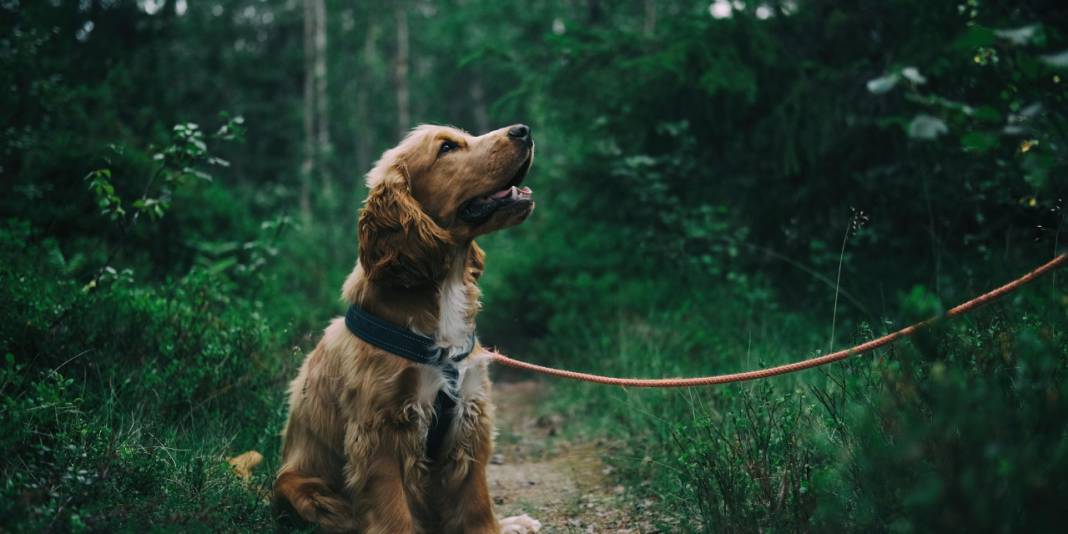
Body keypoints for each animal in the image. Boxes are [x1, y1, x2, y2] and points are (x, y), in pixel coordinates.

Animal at [275, 122, 542, 531]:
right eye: (447, 148)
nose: (523, 130)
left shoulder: (469, 416)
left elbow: (477, 505)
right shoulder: (380, 432)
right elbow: (394, 514)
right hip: (307, 491)